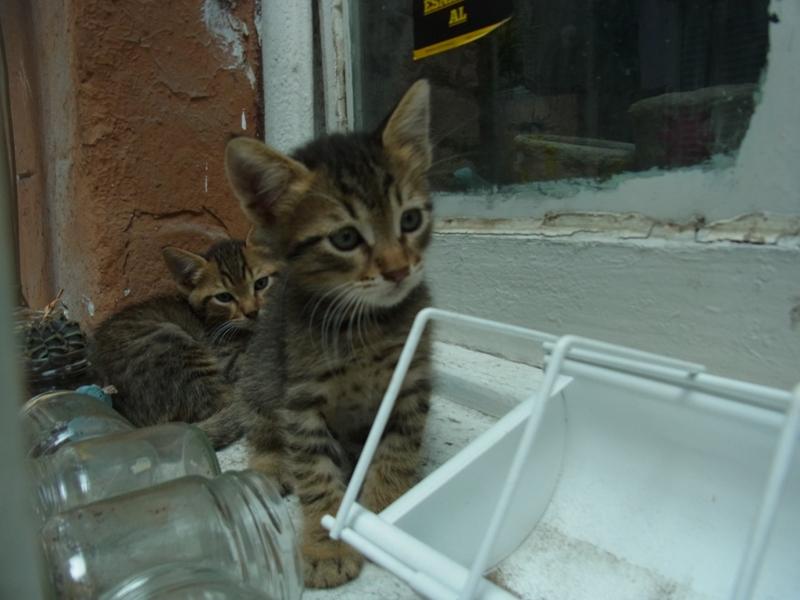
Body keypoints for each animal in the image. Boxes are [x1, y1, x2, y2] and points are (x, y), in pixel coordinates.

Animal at [224, 80, 434, 588]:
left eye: (410, 220)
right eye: (345, 239)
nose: (398, 270)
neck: (366, 324)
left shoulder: (410, 383)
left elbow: (398, 449)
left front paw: (386, 509)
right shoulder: (301, 402)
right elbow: (315, 474)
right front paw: (324, 545)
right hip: (259, 380)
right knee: (261, 432)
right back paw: (270, 466)